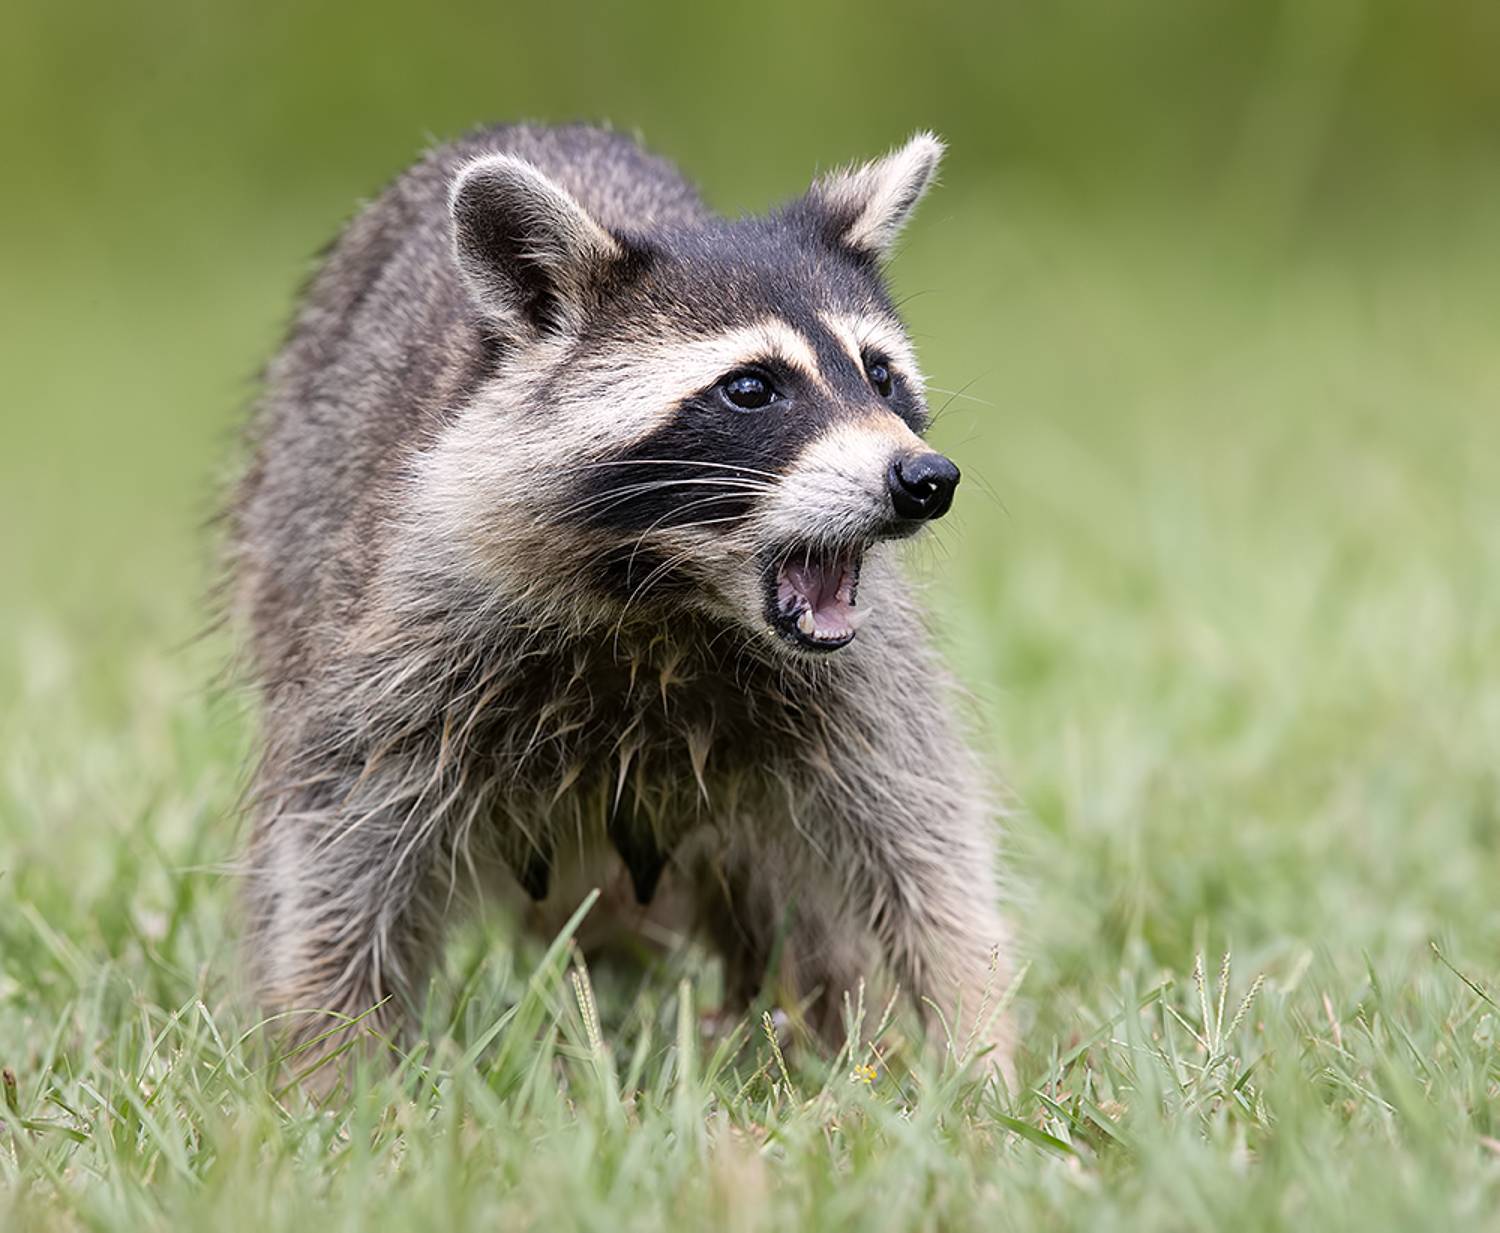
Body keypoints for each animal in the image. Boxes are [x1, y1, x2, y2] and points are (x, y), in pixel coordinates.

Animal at [230, 123, 1015, 1084]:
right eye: (751, 388)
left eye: (879, 375)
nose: (925, 479)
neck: (667, 593)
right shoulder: (400, 628)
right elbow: (341, 844)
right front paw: (334, 1072)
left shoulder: (858, 682)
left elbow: (925, 840)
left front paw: (979, 1052)